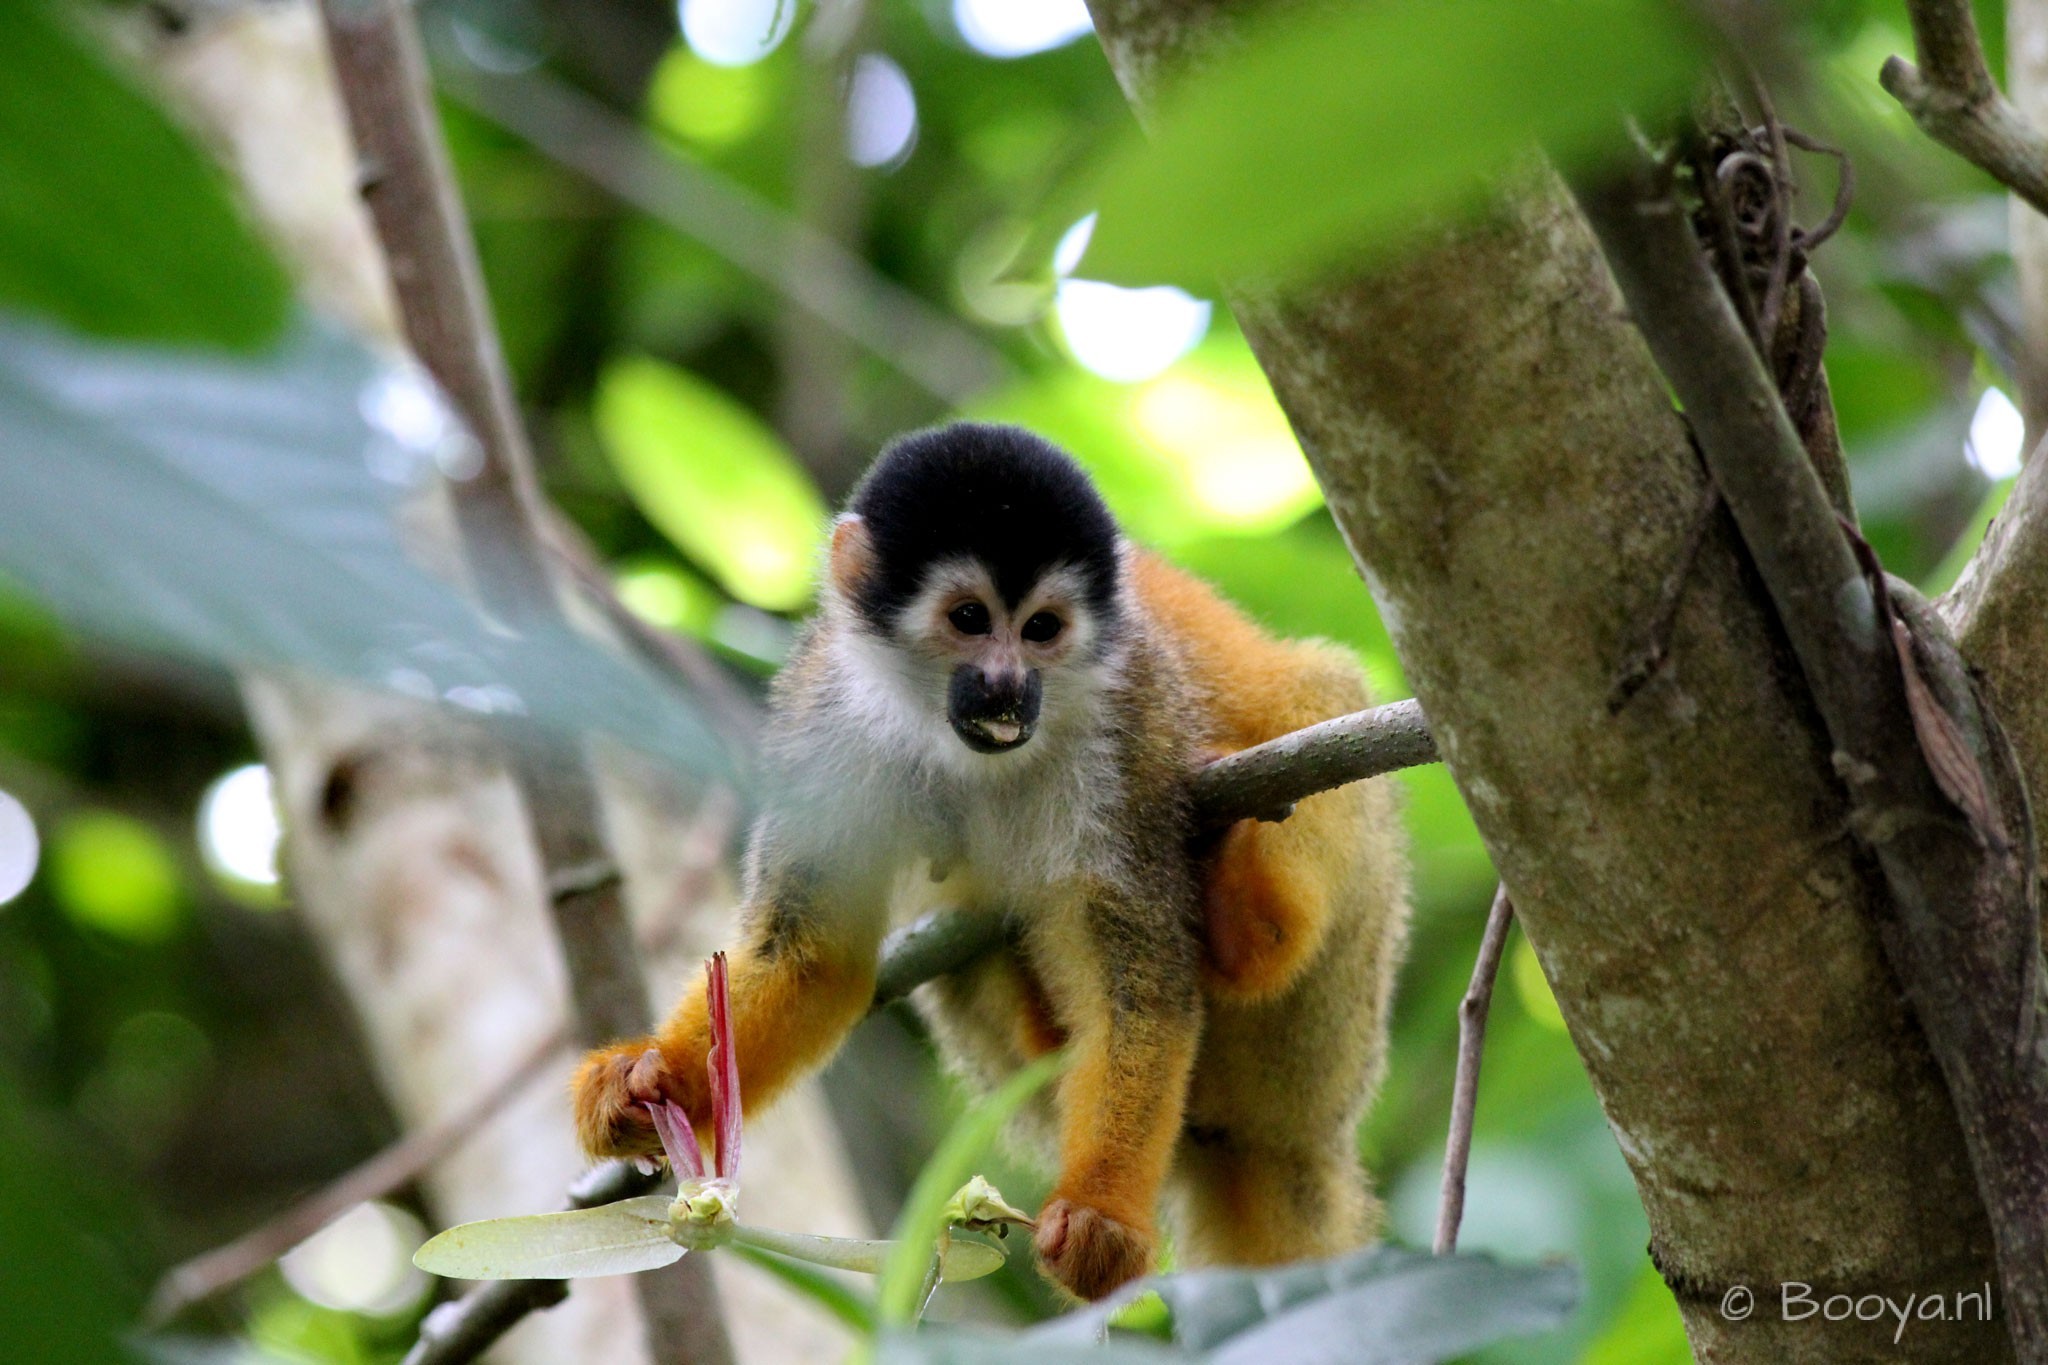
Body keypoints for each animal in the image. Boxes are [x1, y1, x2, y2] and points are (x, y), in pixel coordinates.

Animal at [573, 422, 1409, 1301]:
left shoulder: (1128, 725)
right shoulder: (821, 715)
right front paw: (650, 1079)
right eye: (970, 617)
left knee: (1320, 690)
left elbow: (1138, 990)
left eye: (1042, 628)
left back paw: (1253, 921)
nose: (1008, 686)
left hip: (1331, 1028)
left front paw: (1102, 1213)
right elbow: (811, 958)